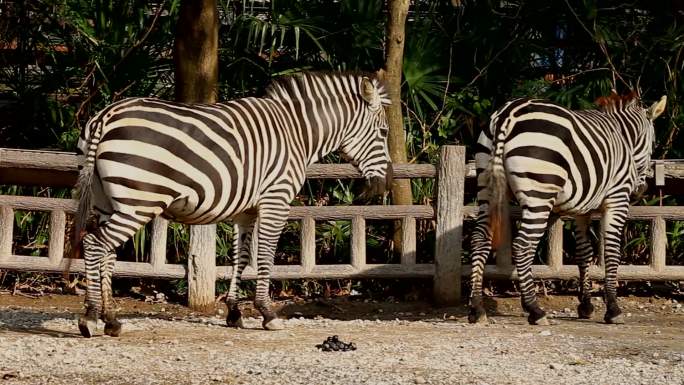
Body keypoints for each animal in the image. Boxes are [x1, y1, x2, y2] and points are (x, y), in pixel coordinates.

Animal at [72, 71, 392, 336]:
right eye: (385, 133)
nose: (386, 185)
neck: (297, 133)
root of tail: (107, 115)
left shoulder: (245, 211)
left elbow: (241, 257)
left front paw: (234, 313)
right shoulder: (276, 199)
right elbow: (265, 255)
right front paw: (267, 313)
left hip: (109, 203)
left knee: (106, 251)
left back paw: (111, 319)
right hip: (139, 202)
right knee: (94, 244)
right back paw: (90, 317)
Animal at [468, 90, 664, 324]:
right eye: (654, 144)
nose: (641, 190)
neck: (624, 139)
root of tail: (508, 113)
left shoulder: (582, 210)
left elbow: (584, 253)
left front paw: (586, 306)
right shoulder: (617, 198)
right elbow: (611, 251)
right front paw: (613, 309)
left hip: (485, 186)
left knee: (480, 239)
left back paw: (477, 308)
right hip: (539, 195)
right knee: (522, 245)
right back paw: (535, 310)